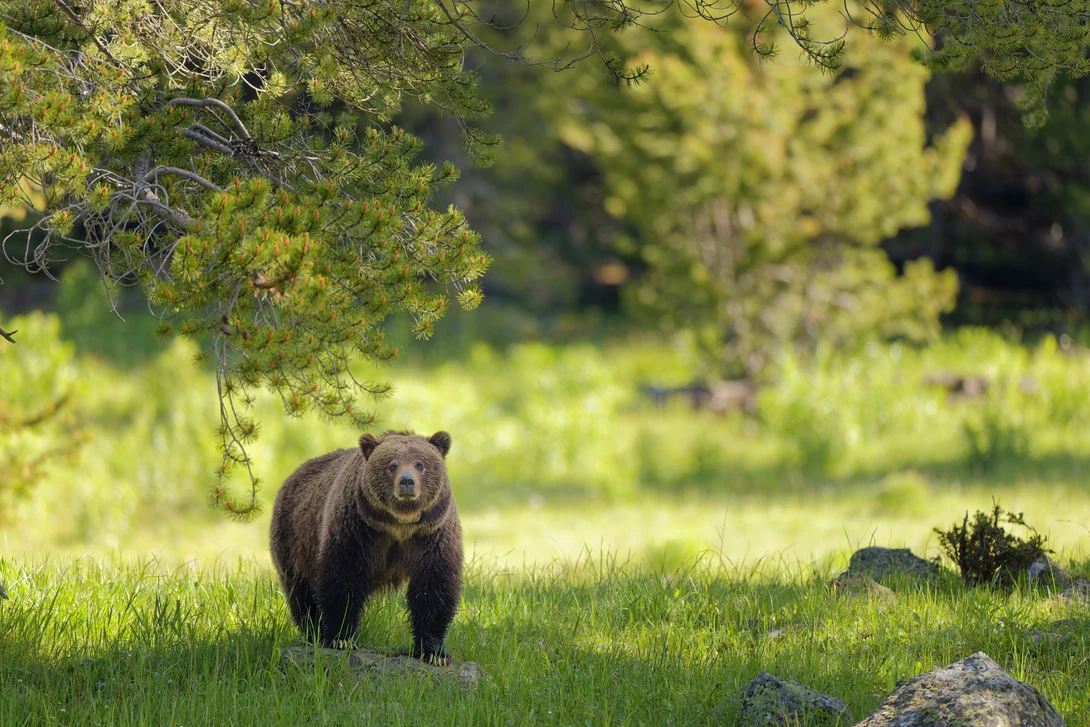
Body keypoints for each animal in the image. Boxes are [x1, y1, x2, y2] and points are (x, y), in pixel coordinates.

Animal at [269, 429, 462, 664]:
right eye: (392, 465)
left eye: (420, 464)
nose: (407, 482)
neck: (400, 524)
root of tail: (294, 473)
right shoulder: (356, 530)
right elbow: (343, 579)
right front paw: (341, 639)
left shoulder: (432, 535)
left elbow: (434, 587)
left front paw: (434, 653)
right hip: (294, 539)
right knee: (301, 592)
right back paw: (313, 632)